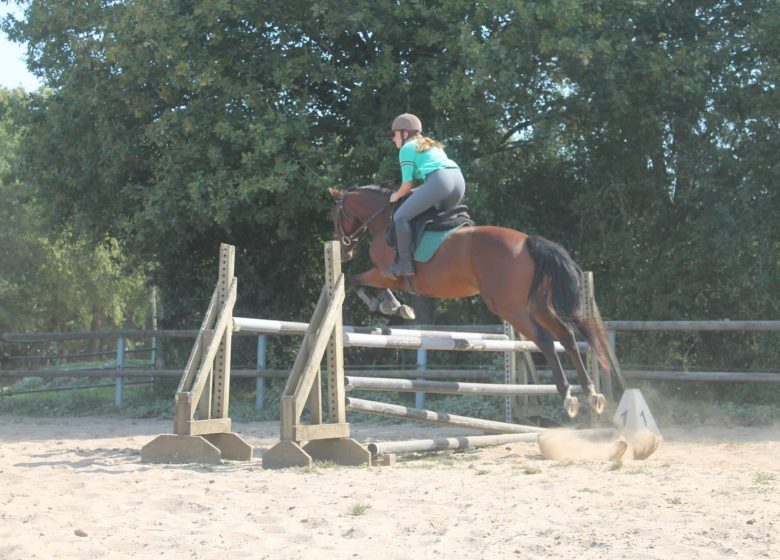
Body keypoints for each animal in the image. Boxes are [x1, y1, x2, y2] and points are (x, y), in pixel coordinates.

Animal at [328, 186, 608, 418]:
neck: (384, 219)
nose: (343, 250)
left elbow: (356, 281)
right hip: (537, 304)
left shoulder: (385, 272)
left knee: (545, 339)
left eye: (337, 216)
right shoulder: (385, 275)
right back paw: (591, 393)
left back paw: (568, 396)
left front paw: (386, 305)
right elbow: (361, 282)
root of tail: (528, 242)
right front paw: (396, 307)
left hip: (510, 307)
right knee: (566, 335)